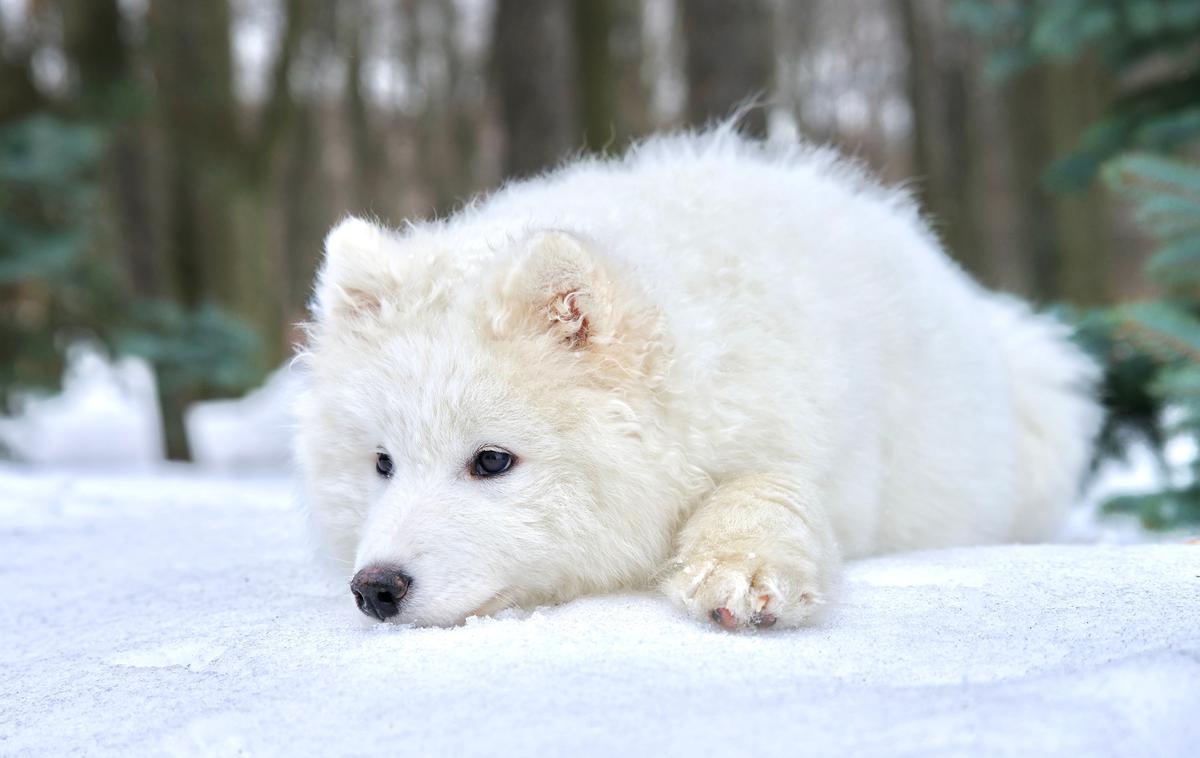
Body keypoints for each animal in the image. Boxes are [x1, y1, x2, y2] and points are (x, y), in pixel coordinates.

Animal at [295, 128, 1099, 628]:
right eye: (381, 462)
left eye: (492, 461)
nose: (376, 588)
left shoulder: (800, 438)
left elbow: (763, 490)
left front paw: (742, 573)